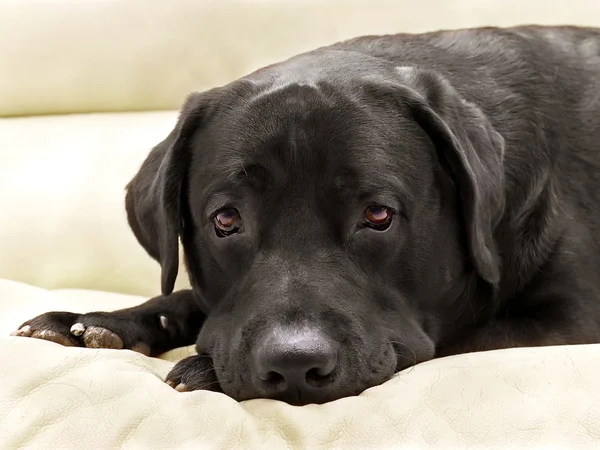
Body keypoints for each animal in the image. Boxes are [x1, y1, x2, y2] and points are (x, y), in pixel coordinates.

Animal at [10, 23, 600, 404]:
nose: (293, 364)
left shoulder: (569, 320)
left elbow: (456, 338)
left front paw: (203, 368)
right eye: (226, 220)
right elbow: (188, 297)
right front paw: (101, 321)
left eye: (378, 214)